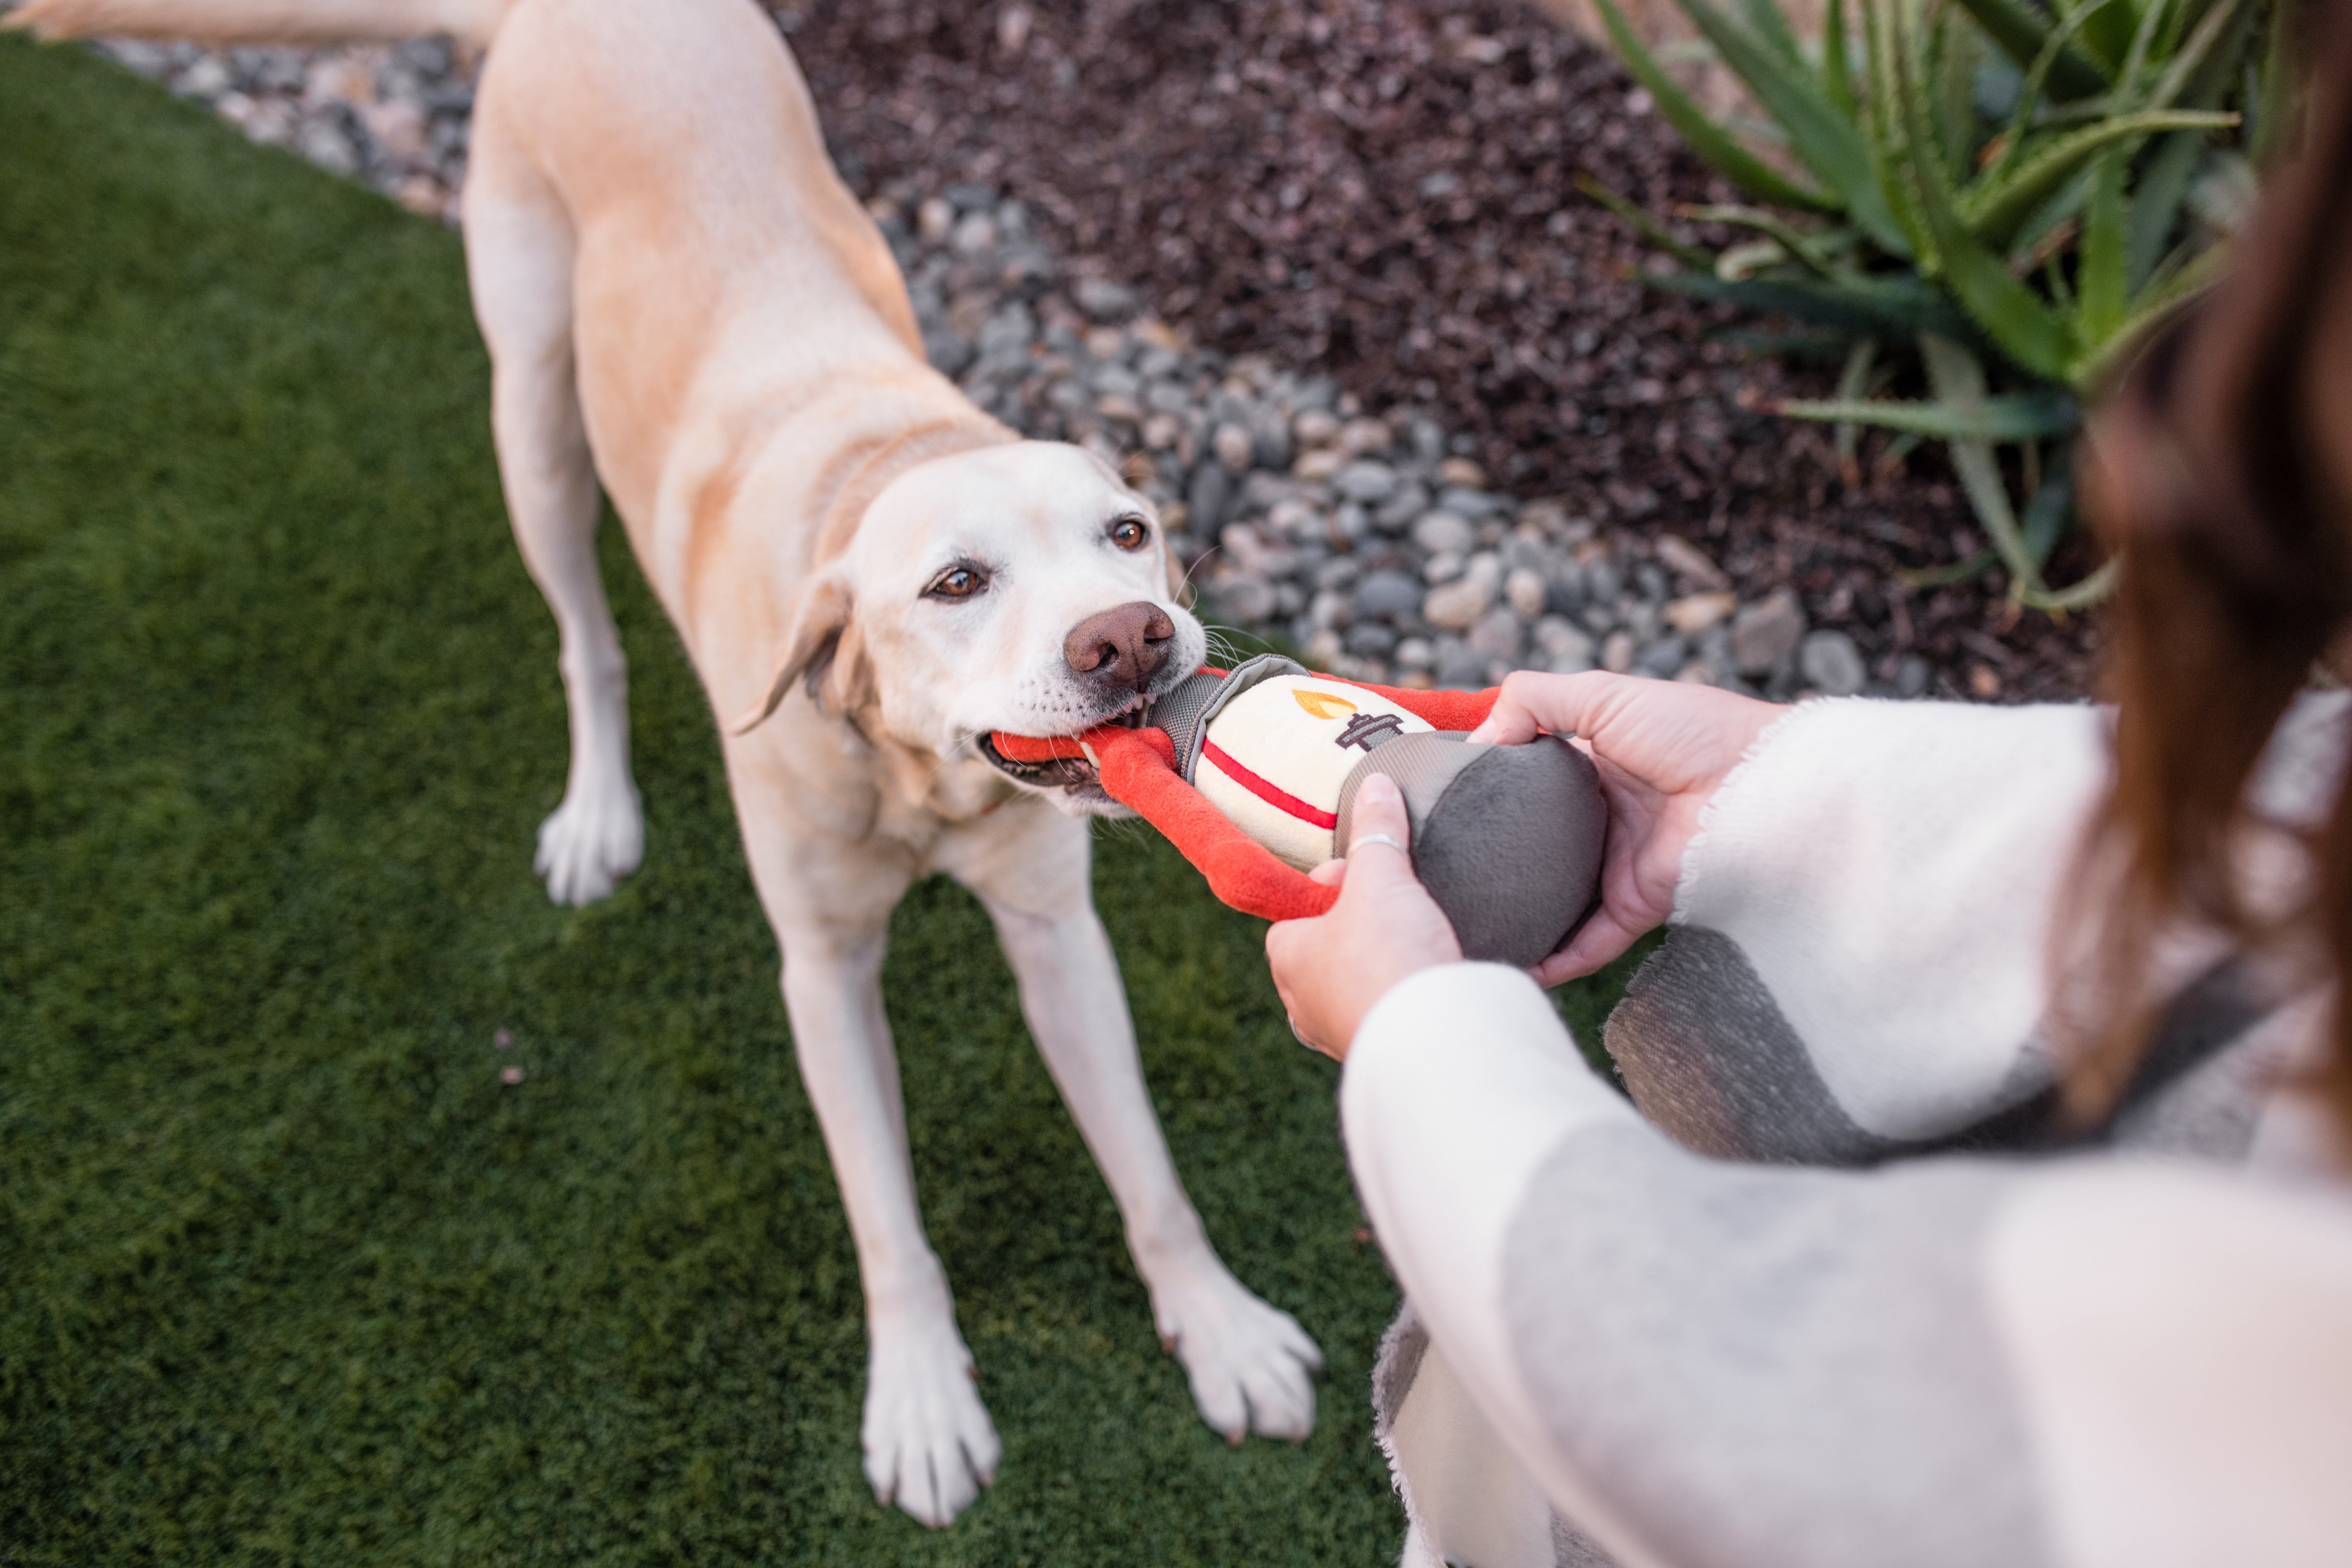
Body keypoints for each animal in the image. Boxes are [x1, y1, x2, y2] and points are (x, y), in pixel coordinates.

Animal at [14, 0, 1327, 1523]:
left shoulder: (1057, 934)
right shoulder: (820, 974)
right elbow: (883, 1213)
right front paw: (921, 1396)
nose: (1130, 638)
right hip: (533, 421)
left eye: (1129, 533)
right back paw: (598, 810)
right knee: (583, 637)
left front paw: (1218, 1326)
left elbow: (1147, 1164)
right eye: (955, 582)